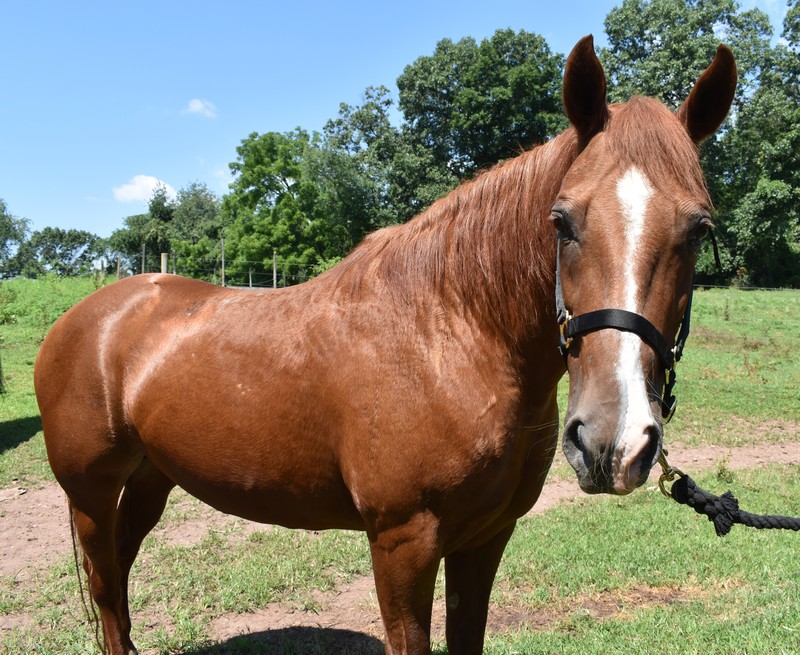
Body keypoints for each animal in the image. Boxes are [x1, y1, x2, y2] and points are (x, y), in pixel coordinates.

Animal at [34, 36, 736, 655]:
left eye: (699, 229)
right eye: (561, 222)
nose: (612, 442)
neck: (450, 336)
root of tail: (85, 319)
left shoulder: (485, 537)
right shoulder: (404, 543)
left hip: (151, 478)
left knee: (121, 573)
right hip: (90, 492)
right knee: (105, 586)